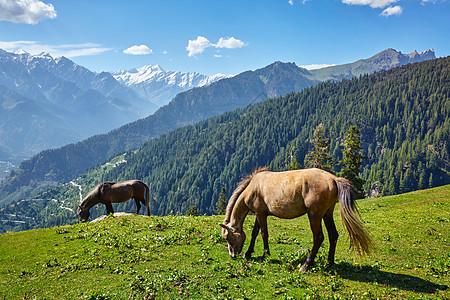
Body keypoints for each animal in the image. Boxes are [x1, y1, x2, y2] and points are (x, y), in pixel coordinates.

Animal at [221, 168, 372, 274]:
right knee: (333, 235)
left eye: (227, 238)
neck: (253, 187)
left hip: (314, 215)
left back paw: (306, 265)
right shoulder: (261, 213)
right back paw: (329, 263)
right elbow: (255, 232)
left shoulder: (260, 213)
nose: (232, 256)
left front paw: (265, 255)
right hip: (327, 213)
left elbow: (263, 234)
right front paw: (248, 253)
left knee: (319, 237)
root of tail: (334, 179)